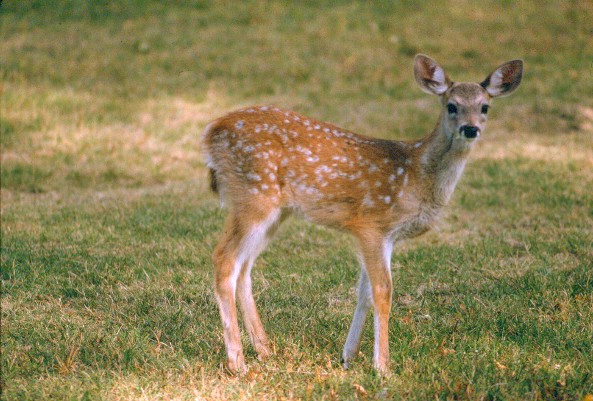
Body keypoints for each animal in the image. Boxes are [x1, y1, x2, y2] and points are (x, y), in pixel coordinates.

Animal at [202, 53, 524, 372]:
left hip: (273, 212)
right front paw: (382, 366)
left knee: (244, 267)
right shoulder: (371, 225)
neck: (416, 174)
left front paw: (348, 356)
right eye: (452, 105)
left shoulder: (388, 237)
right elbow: (383, 291)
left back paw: (265, 350)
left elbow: (364, 293)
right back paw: (237, 362)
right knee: (224, 260)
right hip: (253, 197)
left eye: (484, 106)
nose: (471, 129)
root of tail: (209, 135)